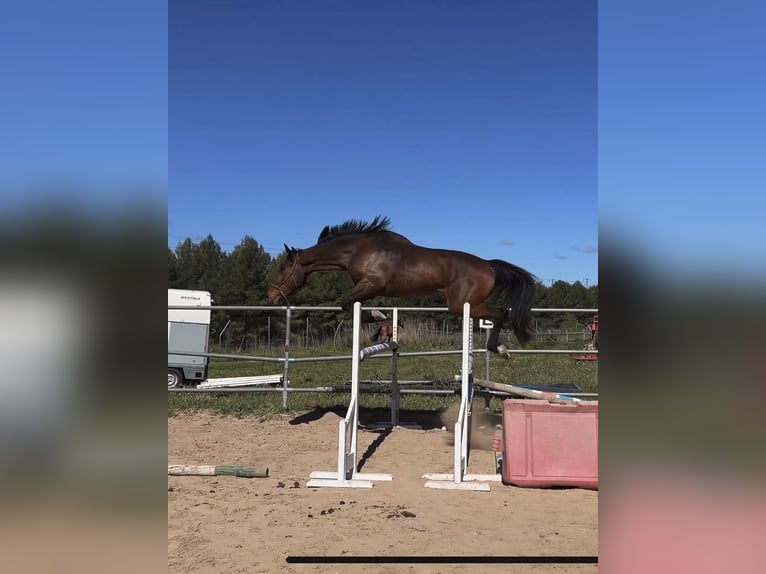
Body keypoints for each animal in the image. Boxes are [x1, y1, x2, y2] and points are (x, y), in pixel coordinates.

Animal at [266, 216, 538, 357]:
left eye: (282, 268)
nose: (271, 296)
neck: (357, 249)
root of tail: (489, 265)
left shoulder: (372, 284)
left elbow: (346, 304)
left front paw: (378, 318)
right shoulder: (367, 288)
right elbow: (351, 305)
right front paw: (379, 325)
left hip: (462, 305)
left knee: (501, 313)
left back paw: (499, 348)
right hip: (467, 305)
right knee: (502, 313)